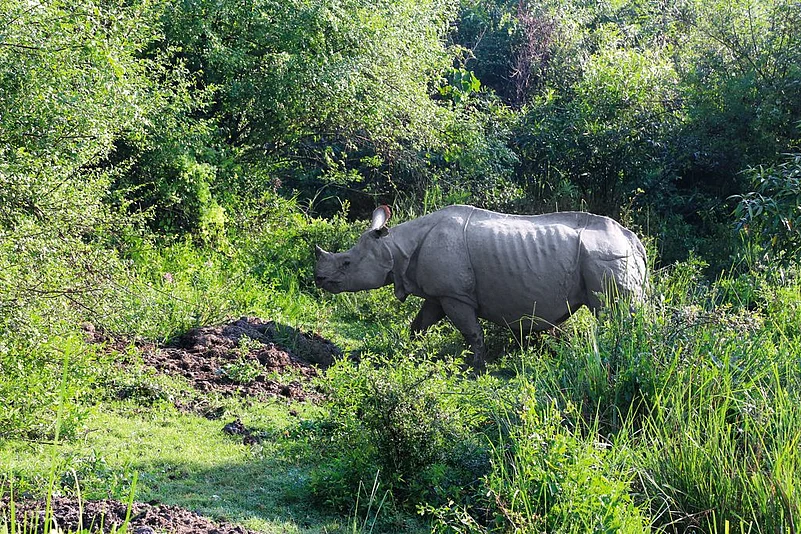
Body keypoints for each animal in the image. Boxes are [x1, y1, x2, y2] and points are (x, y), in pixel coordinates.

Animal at [314, 204, 647, 369]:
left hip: (605, 256)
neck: (394, 247)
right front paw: (408, 351)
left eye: (346, 263)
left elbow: (472, 331)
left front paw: (475, 368)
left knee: (614, 312)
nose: (319, 279)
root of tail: (634, 241)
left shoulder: (455, 295)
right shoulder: (439, 294)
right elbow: (419, 324)